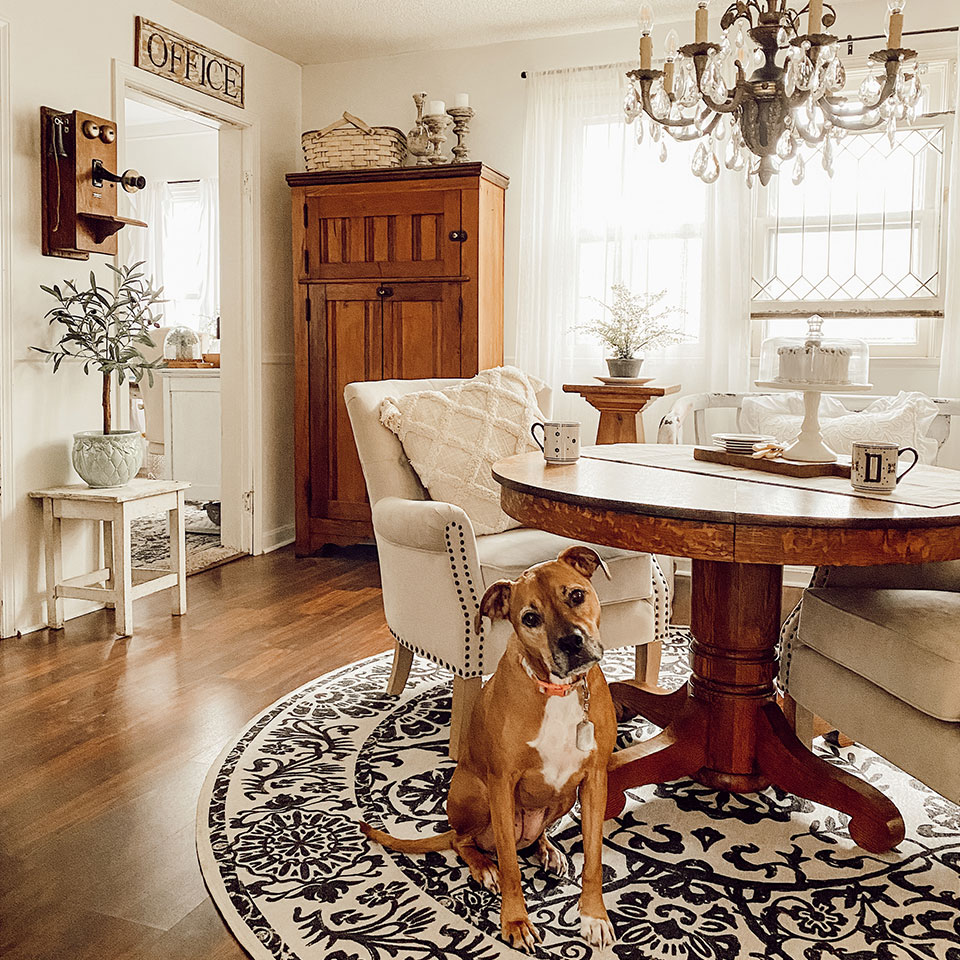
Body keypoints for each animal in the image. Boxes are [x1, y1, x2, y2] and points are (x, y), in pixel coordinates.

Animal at [358, 548, 616, 952]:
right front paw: (515, 921)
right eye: (530, 618)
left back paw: (547, 850)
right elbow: (510, 865)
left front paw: (593, 915)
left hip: (562, 798)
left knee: (534, 836)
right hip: (475, 795)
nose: (572, 643)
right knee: (463, 840)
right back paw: (483, 867)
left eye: (576, 595)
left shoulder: (594, 782)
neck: (556, 689)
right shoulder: (501, 783)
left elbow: (593, 858)